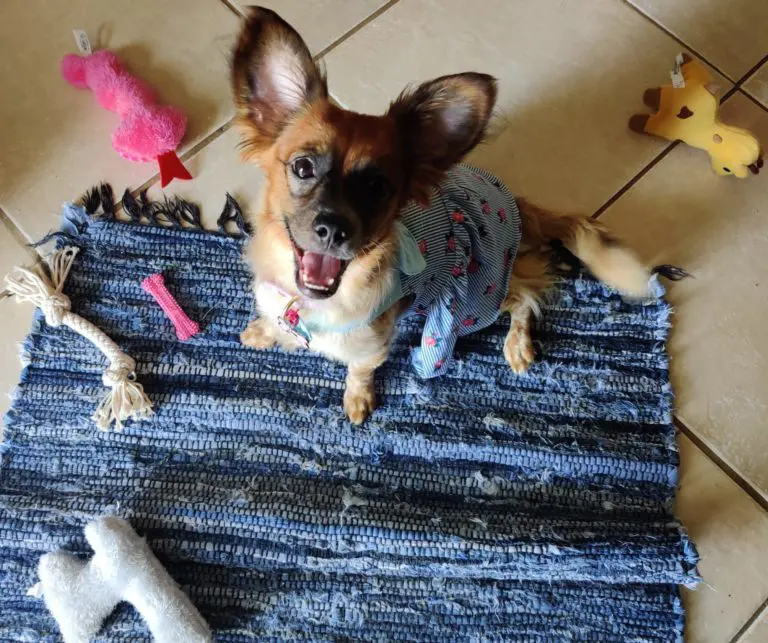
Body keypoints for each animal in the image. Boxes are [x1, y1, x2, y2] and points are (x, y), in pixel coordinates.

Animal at [231, 8, 652, 428]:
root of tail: (516, 204)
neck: (312, 302)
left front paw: (358, 399)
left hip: (476, 301)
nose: (334, 229)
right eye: (303, 167)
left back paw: (517, 344)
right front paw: (264, 333)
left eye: (378, 186)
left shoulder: (373, 347)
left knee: (524, 296)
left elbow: (360, 371)